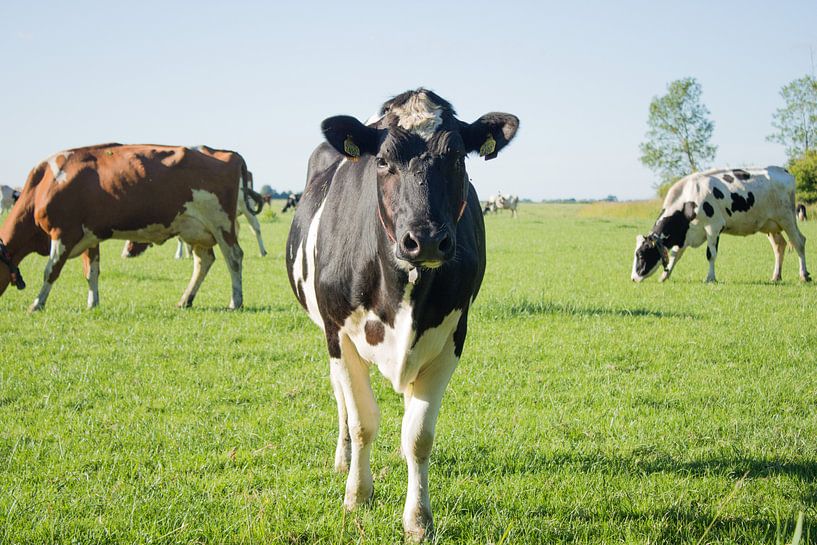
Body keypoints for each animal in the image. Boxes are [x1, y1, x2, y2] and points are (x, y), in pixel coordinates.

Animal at [0, 142, 249, 310]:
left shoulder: (63, 233)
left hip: (221, 224)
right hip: (195, 230)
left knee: (234, 258)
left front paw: (37, 304)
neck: (44, 184)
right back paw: (185, 300)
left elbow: (50, 271)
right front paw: (93, 303)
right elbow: (92, 272)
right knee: (203, 261)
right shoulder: (90, 236)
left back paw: (235, 301)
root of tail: (225, 153)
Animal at [286, 89, 516, 540]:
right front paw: (357, 495)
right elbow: (362, 422)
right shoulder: (339, 334)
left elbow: (419, 435)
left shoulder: (450, 339)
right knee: (342, 399)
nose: (424, 239)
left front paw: (419, 519)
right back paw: (342, 458)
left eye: (457, 158)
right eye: (382, 160)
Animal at [628, 166, 808, 282]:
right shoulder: (686, 234)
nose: (633, 278)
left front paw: (710, 278)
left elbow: (711, 255)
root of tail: (784, 171)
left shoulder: (713, 227)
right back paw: (776, 277)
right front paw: (665, 276)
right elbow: (674, 255)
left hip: (787, 217)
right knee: (779, 246)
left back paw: (804, 275)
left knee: (799, 242)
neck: (687, 200)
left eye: (641, 255)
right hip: (770, 225)